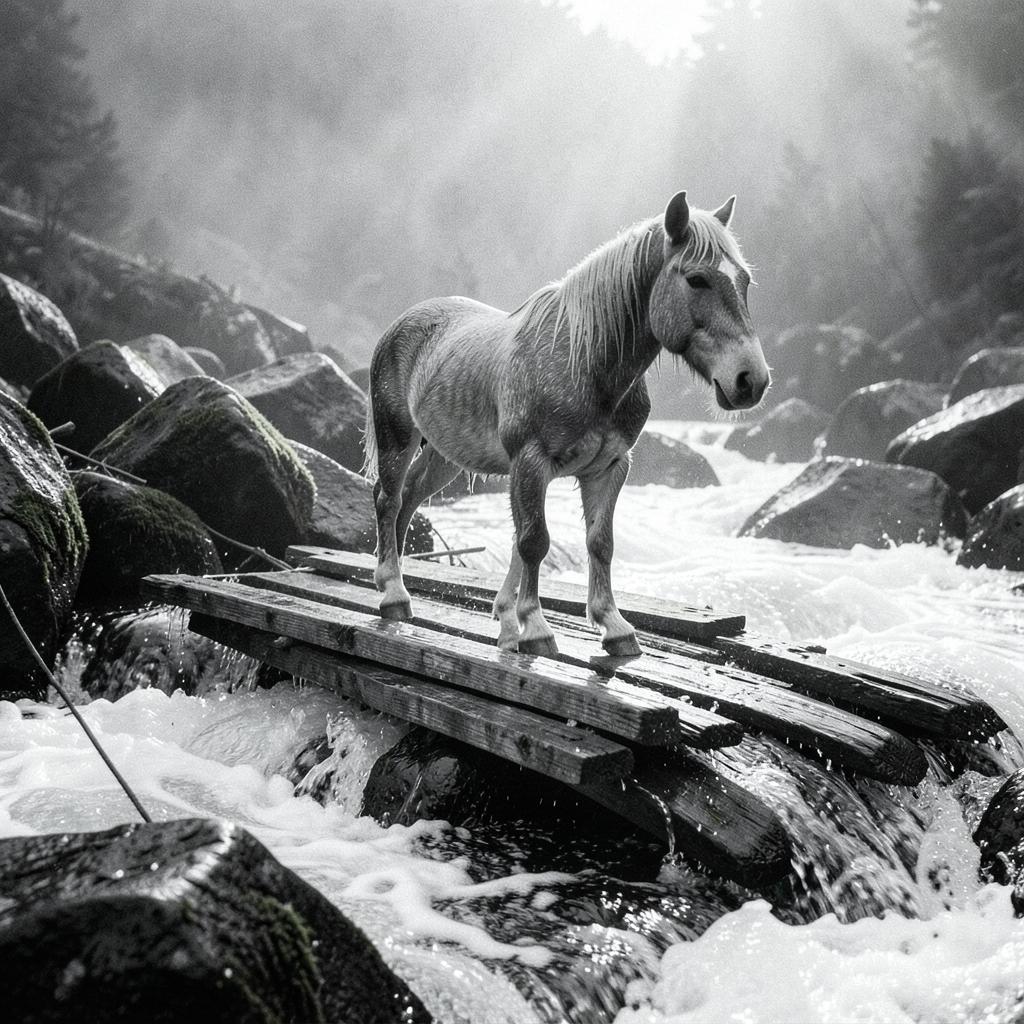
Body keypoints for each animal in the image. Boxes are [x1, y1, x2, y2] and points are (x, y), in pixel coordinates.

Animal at [363, 190, 769, 657]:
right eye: (697, 279)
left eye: (744, 281)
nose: (751, 380)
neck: (586, 363)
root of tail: (405, 321)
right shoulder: (531, 463)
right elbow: (533, 541)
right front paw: (535, 627)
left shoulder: (609, 468)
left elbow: (597, 542)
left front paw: (611, 625)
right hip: (397, 436)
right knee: (389, 499)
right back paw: (393, 594)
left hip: (444, 456)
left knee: (410, 498)